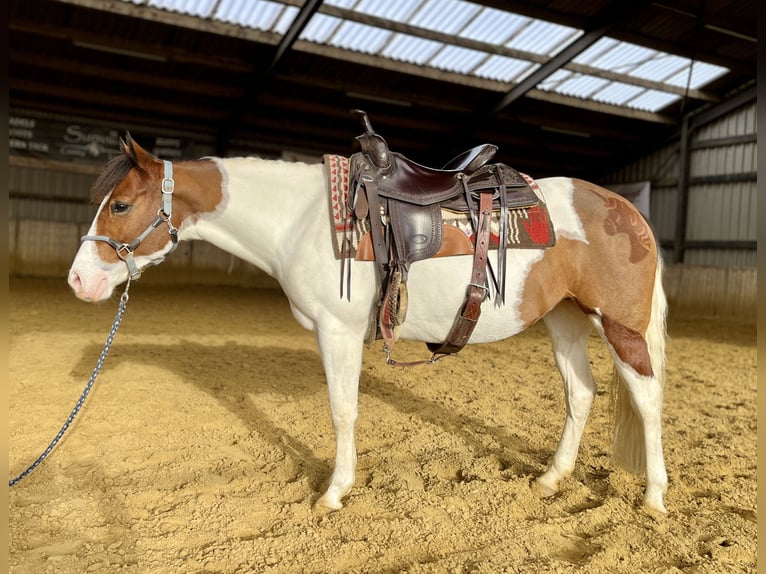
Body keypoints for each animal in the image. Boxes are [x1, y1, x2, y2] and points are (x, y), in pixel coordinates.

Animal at [67, 135, 668, 514]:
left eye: (120, 206)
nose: (78, 280)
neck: (301, 219)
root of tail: (626, 210)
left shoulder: (336, 331)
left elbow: (342, 411)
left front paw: (334, 493)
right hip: (565, 319)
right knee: (581, 393)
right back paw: (551, 478)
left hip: (620, 326)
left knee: (646, 398)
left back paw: (654, 498)